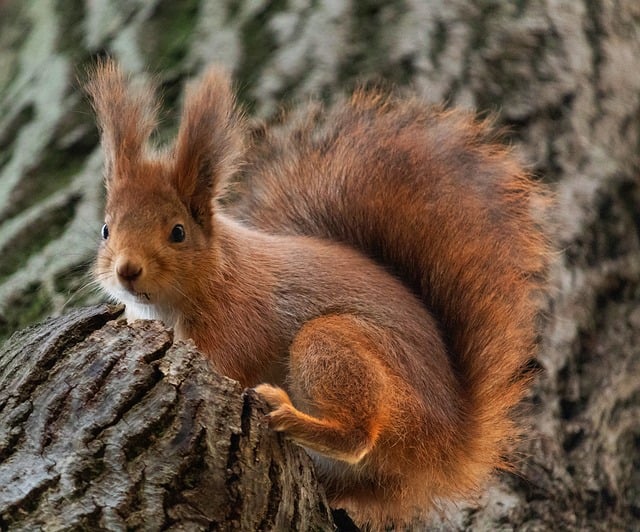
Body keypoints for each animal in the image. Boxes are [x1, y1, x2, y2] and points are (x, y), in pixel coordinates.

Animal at [86, 59, 552, 528]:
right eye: (106, 229)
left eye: (178, 232)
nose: (127, 270)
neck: (213, 275)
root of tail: (452, 443)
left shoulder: (241, 320)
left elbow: (230, 361)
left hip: (333, 342)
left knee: (358, 437)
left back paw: (290, 415)